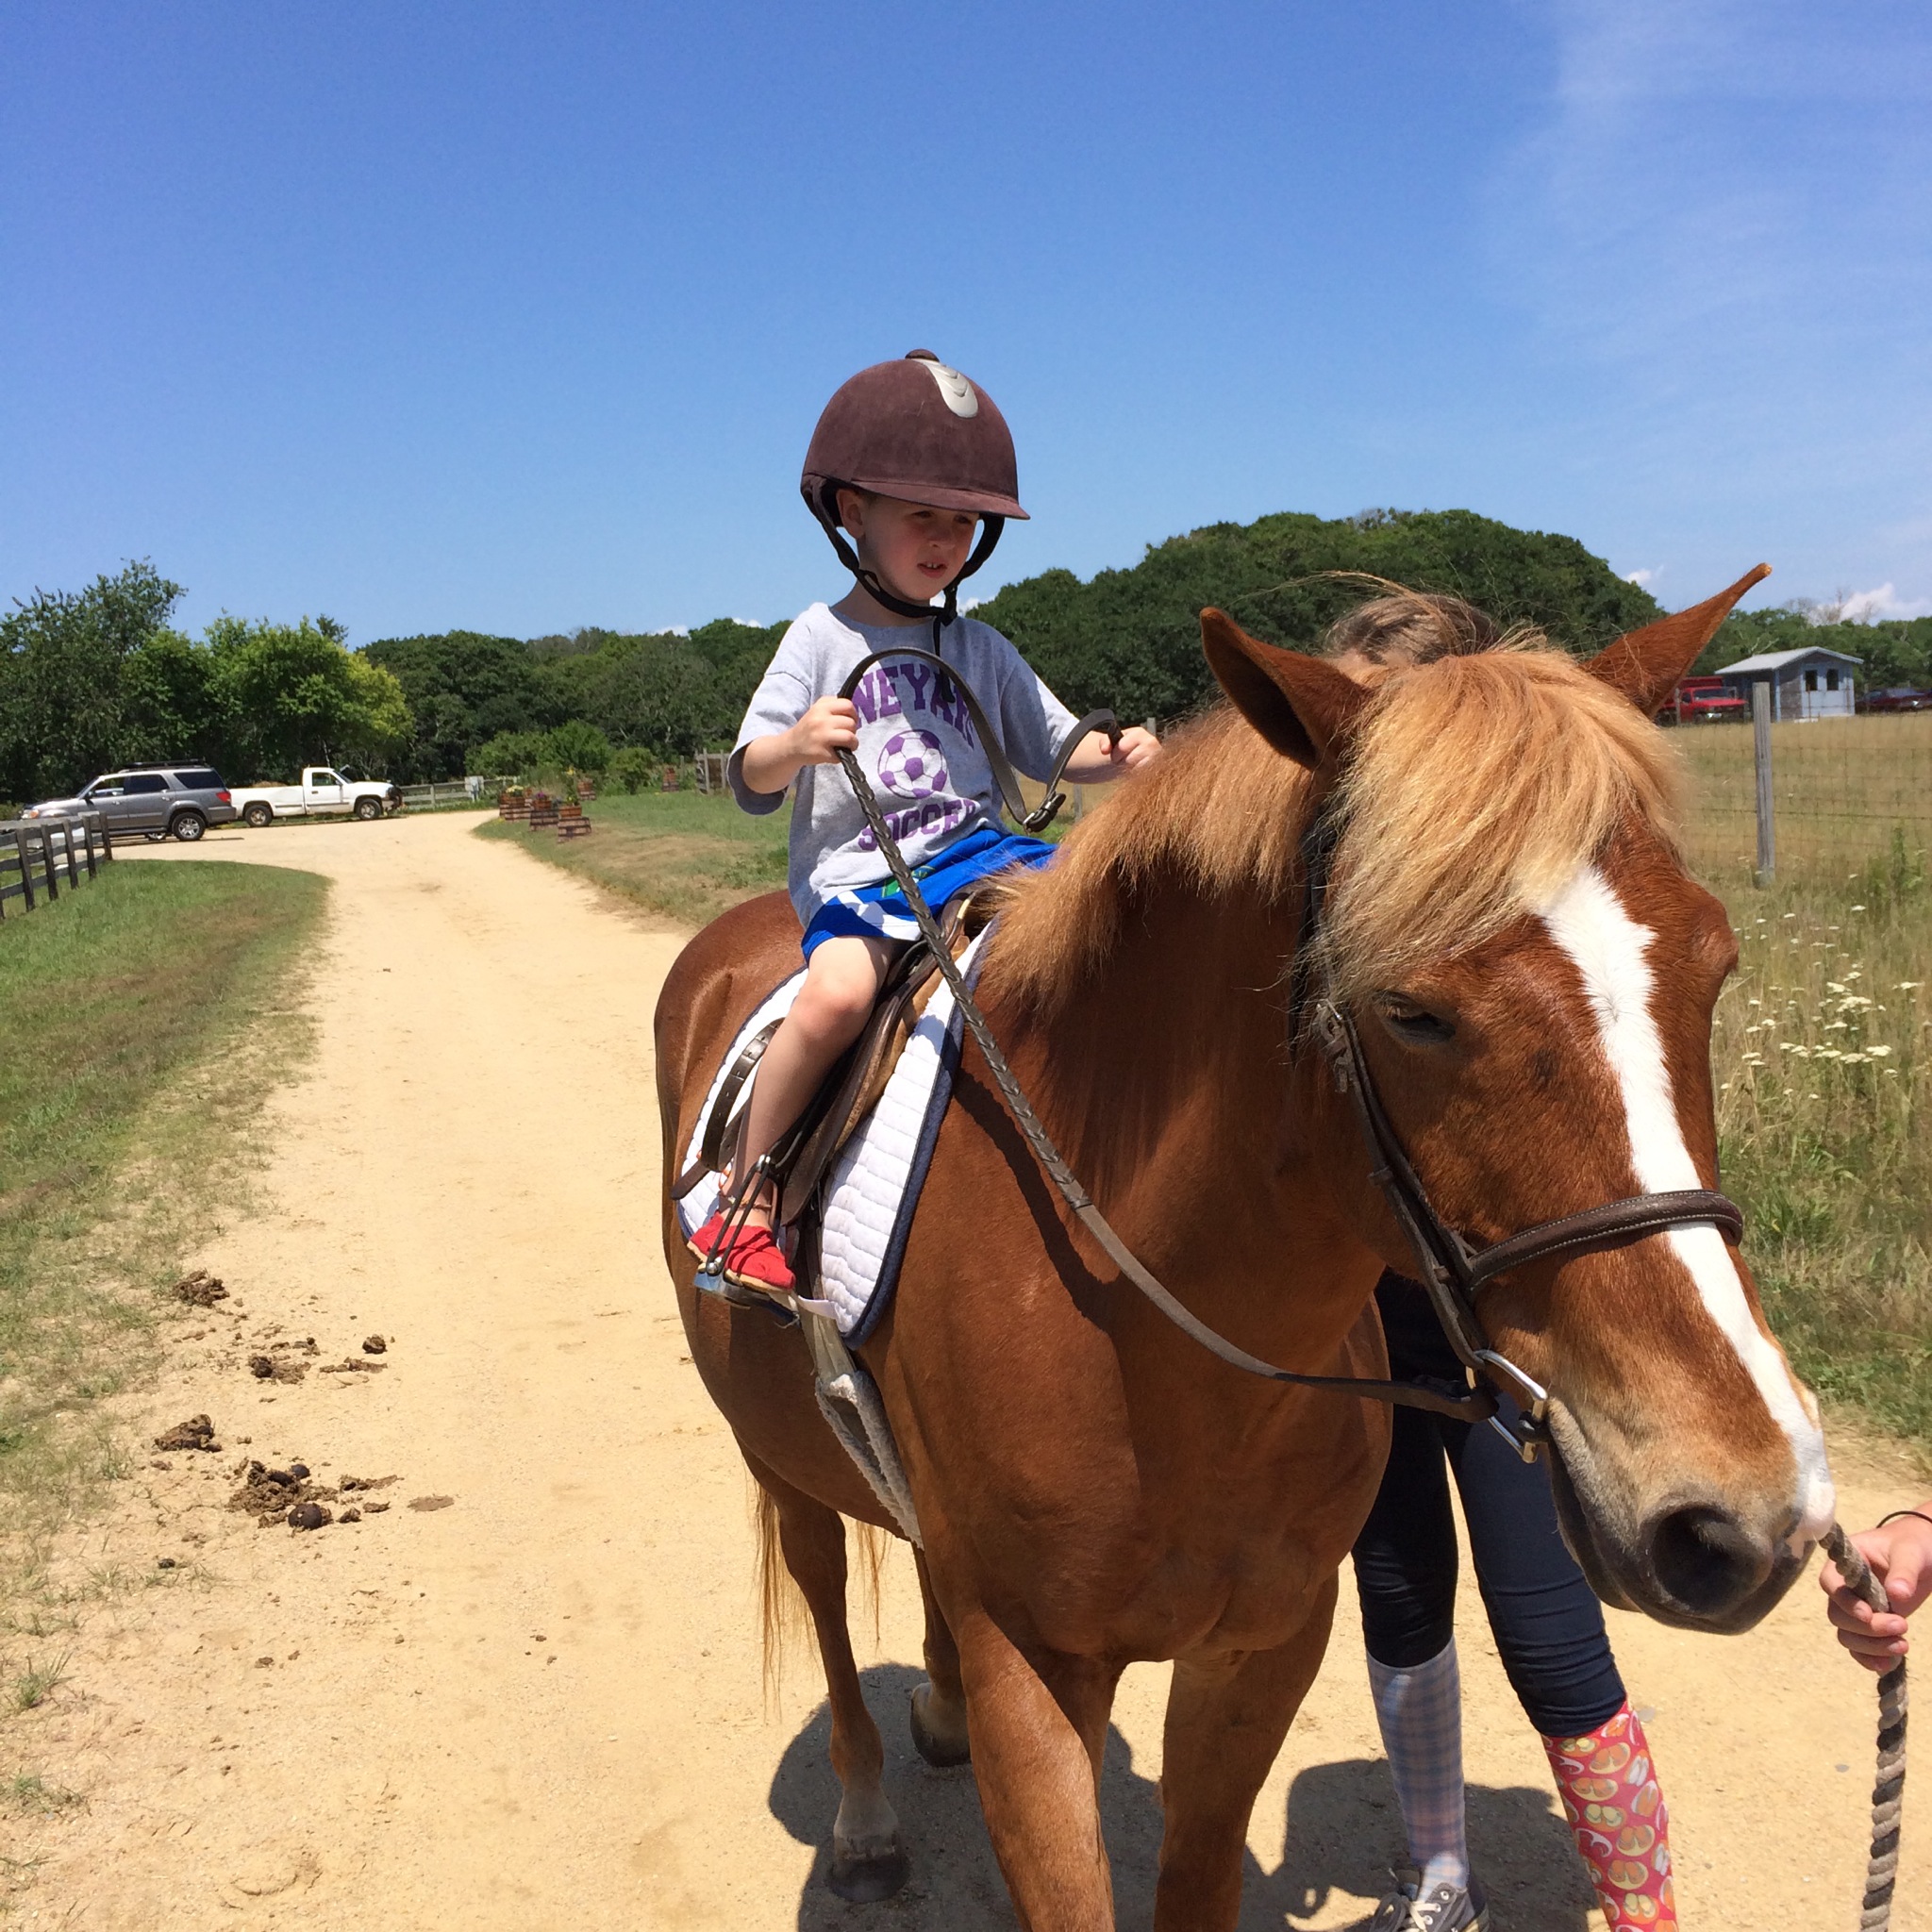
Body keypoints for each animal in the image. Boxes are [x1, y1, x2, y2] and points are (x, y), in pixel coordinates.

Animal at [653, 570, 1834, 1930]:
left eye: (1715, 963)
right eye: (1411, 1010)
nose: (1739, 1507)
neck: (1157, 1354)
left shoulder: (1261, 1649)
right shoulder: (1035, 1678)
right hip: (779, 1459)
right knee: (827, 1601)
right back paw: (861, 1818)